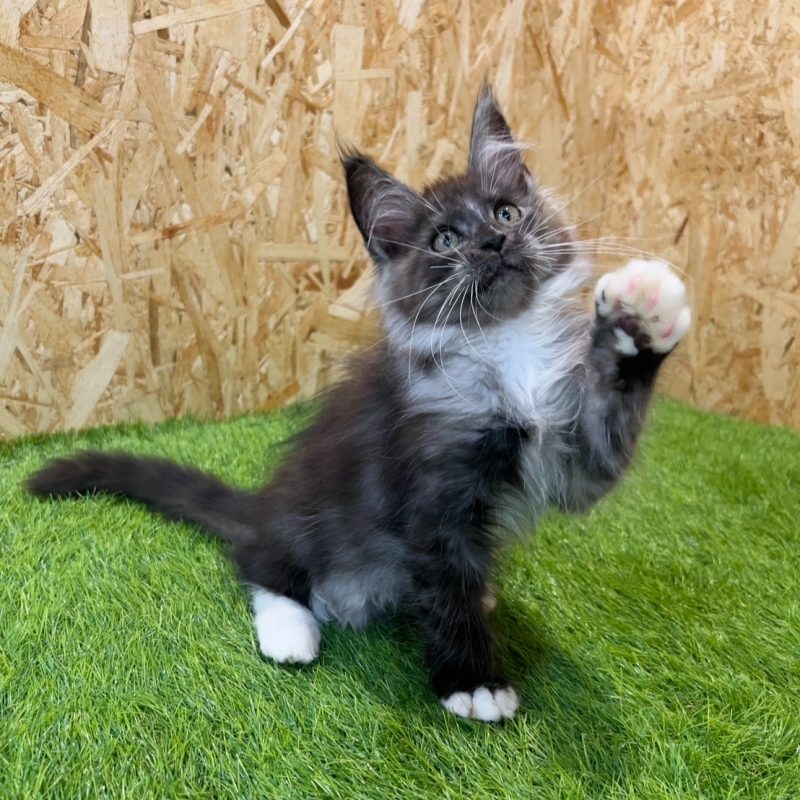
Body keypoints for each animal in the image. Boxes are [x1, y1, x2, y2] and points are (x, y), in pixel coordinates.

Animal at [27, 86, 691, 723]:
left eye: (506, 211)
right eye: (445, 239)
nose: (494, 240)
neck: (507, 346)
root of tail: (262, 506)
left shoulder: (571, 459)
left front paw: (642, 317)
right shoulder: (433, 495)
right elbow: (446, 590)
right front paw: (472, 683)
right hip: (303, 520)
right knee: (261, 566)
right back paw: (290, 630)